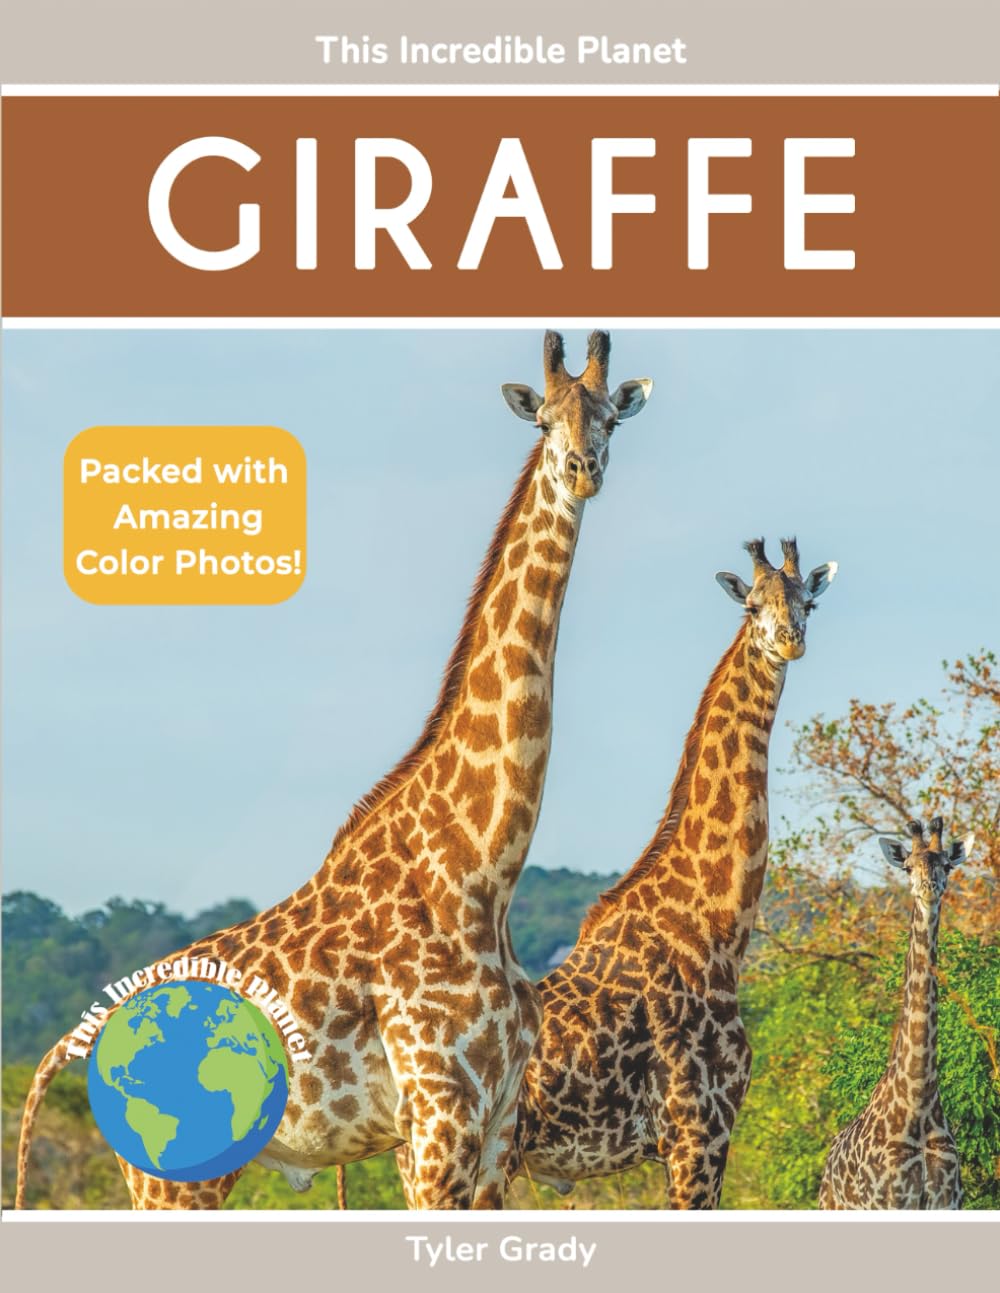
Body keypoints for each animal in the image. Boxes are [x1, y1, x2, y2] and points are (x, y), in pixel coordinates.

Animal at [16, 331, 653, 1211]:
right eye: (545, 422)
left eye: (609, 420)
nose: (582, 468)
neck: (482, 867)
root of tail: (80, 1035)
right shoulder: (438, 1119)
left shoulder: (493, 1129)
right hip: (169, 1175)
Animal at [503, 537, 837, 1209]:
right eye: (753, 606)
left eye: (809, 601)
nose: (790, 639)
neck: (714, 929)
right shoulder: (696, 1131)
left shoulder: (703, 1136)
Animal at [818, 817, 969, 1210]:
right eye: (908, 867)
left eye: (946, 865)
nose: (930, 888)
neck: (918, 1099)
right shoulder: (888, 1201)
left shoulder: (947, 1202)